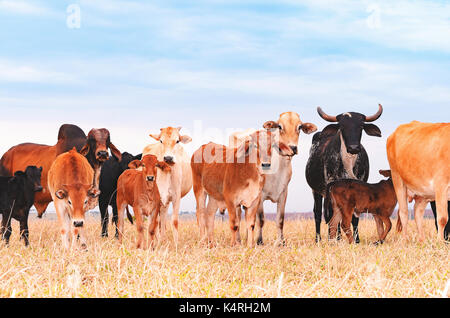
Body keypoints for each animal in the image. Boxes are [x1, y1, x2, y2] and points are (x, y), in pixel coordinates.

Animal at [304, 103, 382, 241]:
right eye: (342, 126)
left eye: (361, 126)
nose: (354, 147)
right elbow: (331, 216)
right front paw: (333, 239)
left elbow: (354, 217)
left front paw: (356, 240)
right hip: (316, 191)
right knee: (318, 213)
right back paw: (320, 239)